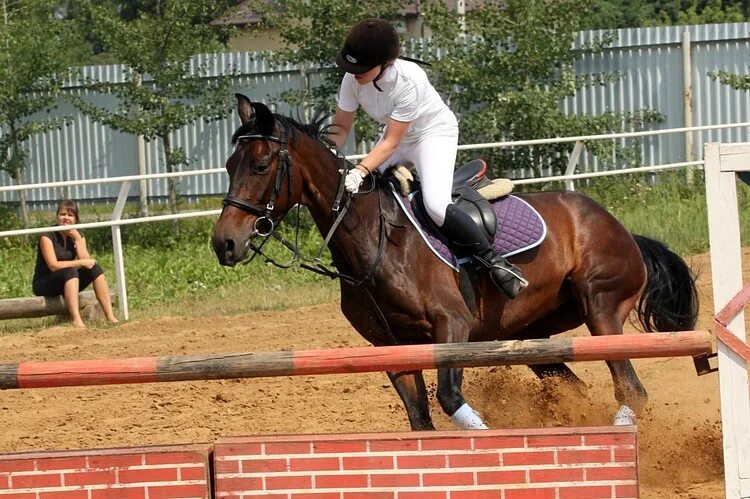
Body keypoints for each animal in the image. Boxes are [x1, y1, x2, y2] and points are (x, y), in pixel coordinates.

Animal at [212, 95, 700, 432]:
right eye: (229, 164)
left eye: (260, 165)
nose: (224, 244)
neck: (371, 240)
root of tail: (622, 229)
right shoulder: (391, 349)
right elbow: (421, 420)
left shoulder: (453, 326)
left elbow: (449, 397)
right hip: (533, 337)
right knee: (574, 389)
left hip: (601, 309)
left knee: (631, 389)